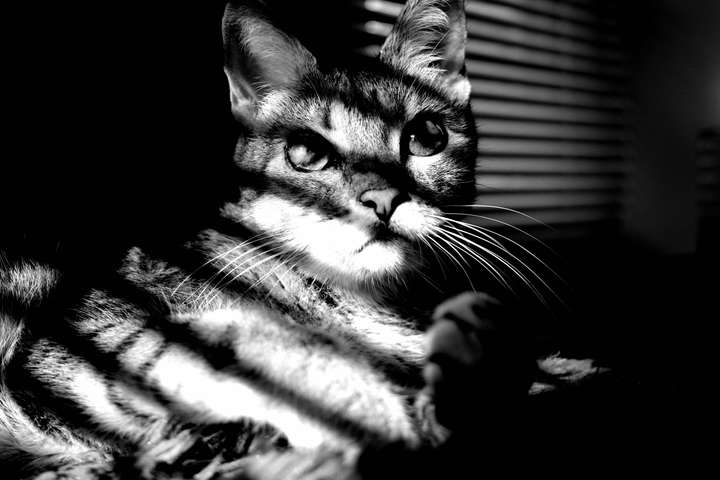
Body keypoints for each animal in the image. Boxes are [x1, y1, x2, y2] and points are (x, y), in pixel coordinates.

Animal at [0, 0, 562, 478]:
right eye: (307, 153)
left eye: (427, 137)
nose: (384, 199)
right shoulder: (82, 344)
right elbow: (278, 344)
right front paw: (380, 415)